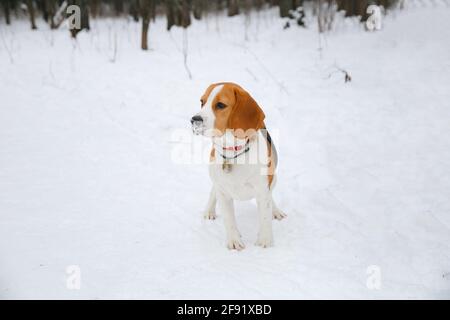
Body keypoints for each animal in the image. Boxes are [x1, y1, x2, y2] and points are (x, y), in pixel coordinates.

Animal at [190, 82, 284, 250]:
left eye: (220, 105)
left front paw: (265, 241)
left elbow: (265, 217)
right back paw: (209, 210)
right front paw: (234, 241)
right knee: (213, 191)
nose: (194, 120)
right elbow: (229, 219)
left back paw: (275, 211)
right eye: (202, 102)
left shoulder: (262, 191)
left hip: (273, 179)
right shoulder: (223, 192)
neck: (233, 154)